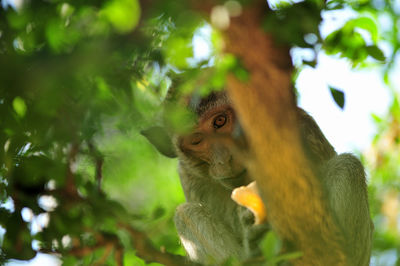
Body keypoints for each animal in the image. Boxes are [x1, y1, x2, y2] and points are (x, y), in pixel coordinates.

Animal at [142, 90, 374, 264]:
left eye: (220, 121)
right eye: (197, 140)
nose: (223, 159)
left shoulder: (302, 129)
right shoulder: (189, 176)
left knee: (347, 166)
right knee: (186, 213)